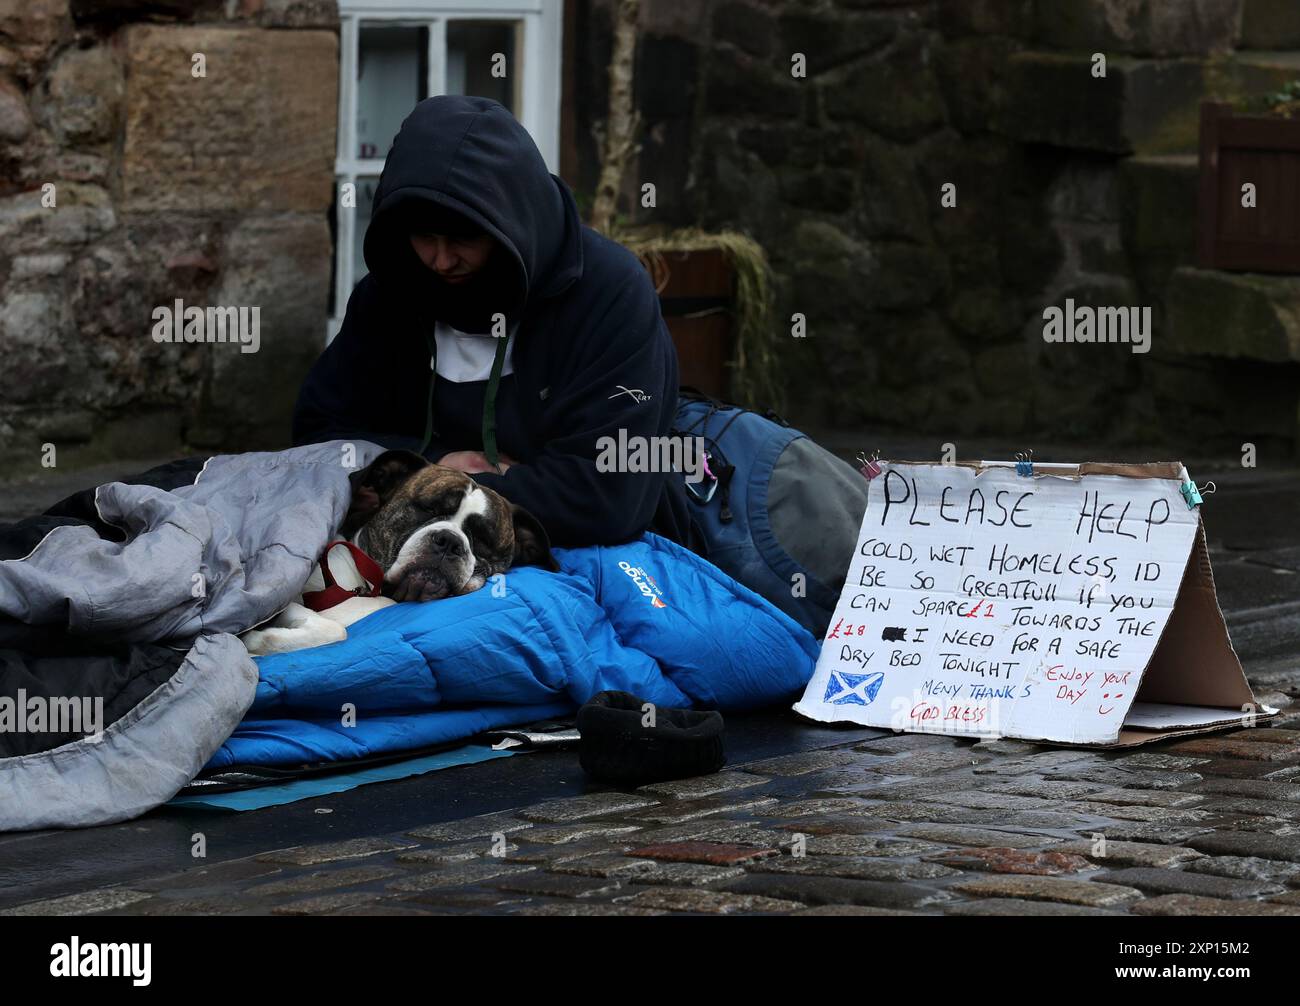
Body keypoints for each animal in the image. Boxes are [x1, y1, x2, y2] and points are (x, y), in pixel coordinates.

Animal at [241, 452, 556, 657]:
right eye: (426, 508)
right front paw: (255, 642)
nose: (449, 541)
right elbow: (333, 629)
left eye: (481, 538)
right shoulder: (288, 598)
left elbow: (335, 630)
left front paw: (257, 642)